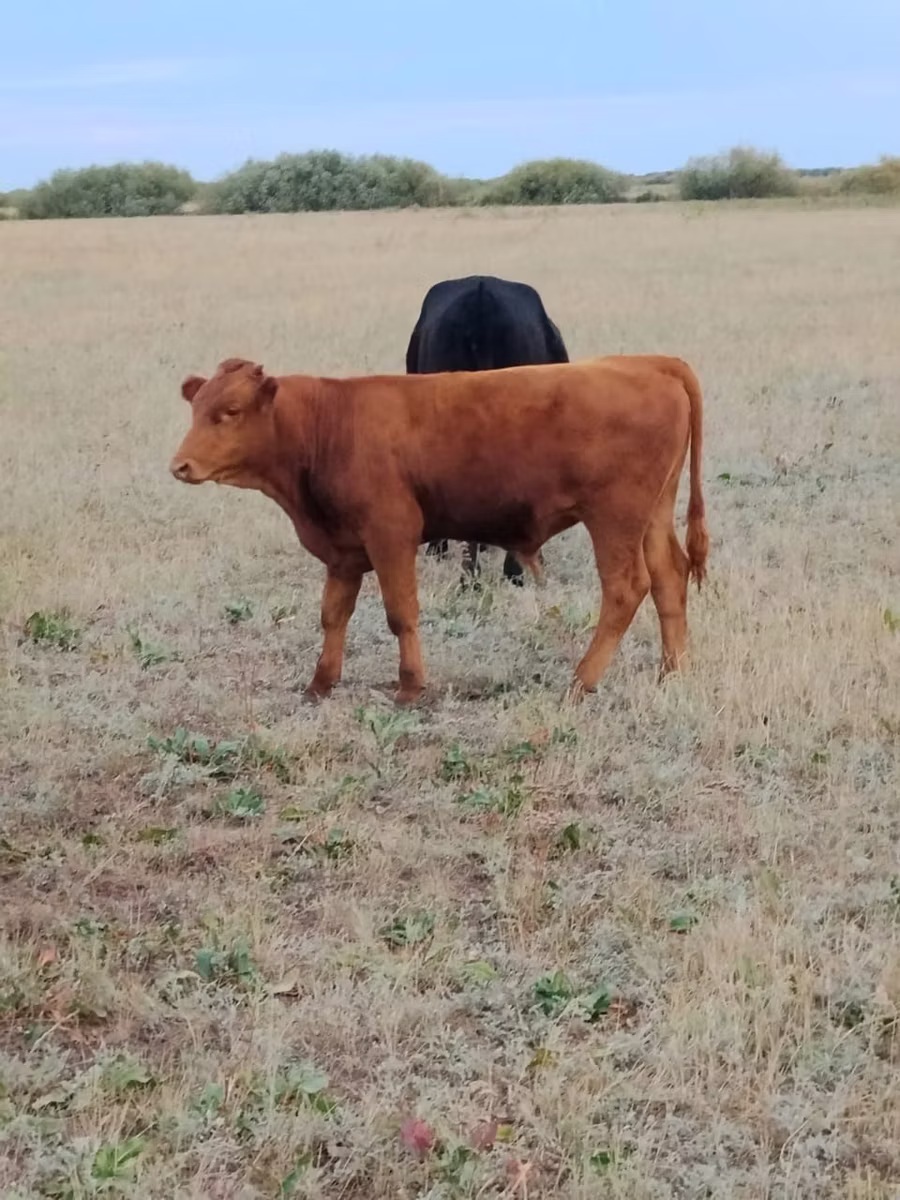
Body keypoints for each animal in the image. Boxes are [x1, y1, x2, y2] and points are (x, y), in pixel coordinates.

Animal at [169, 354, 708, 707]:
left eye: (230, 411)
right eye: (195, 409)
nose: (180, 466)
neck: (329, 423)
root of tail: (648, 363)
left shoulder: (391, 534)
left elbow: (400, 613)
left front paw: (410, 687)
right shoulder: (343, 551)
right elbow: (332, 615)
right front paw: (320, 684)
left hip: (614, 519)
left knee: (626, 589)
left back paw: (581, 681)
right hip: (652, 517)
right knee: (669, 579)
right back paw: (673, 672)